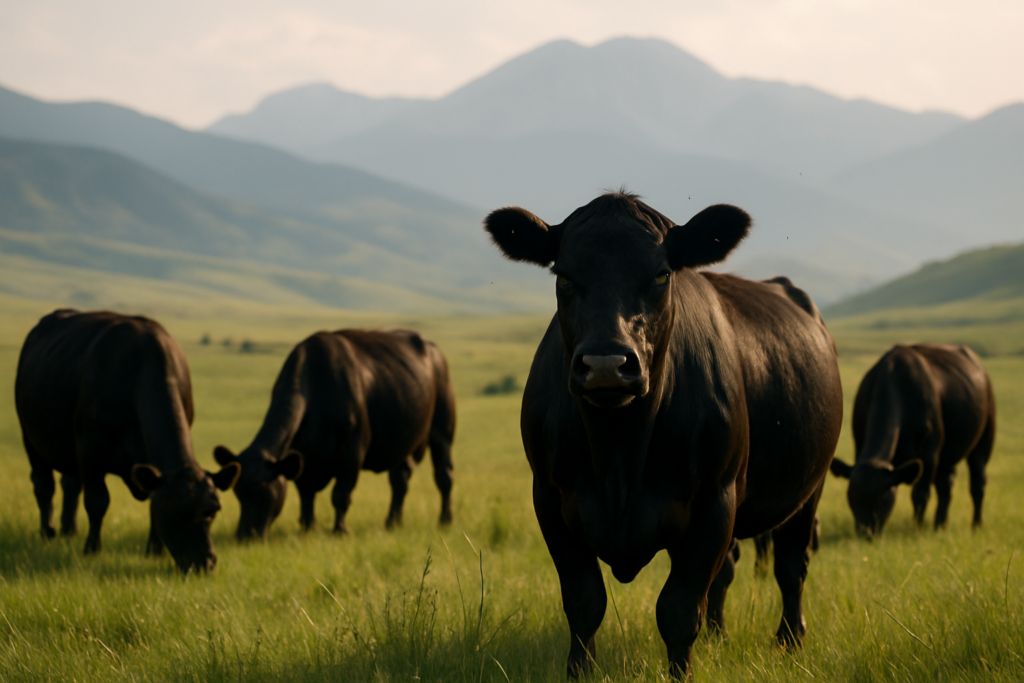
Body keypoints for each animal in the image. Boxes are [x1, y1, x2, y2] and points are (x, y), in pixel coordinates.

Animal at [15, 309, 241, 573]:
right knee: (44, 485)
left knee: (70, 484)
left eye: (213, 511)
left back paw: (69, 530)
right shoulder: (90, 451)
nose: (204, 562)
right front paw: (91, 549)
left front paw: (154, 552)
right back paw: (47, 532)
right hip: (30, 439)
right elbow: (97, 501)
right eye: (173, 511)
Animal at [213, 329, 455, 541]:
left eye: (262, 489)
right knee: (400, 480)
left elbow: (340, 495)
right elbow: (306, 496)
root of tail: (432, 347)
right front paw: (307, 528)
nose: (244, 536)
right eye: (238, 492)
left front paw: (340, 530)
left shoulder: (353, 452)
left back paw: (445, 520)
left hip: (442, 429)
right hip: (402, 442)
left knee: (444, 476)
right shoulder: (304, 459)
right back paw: (392, 522)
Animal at [484, 192, 844, 678]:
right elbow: (583, 602)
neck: (619, 454)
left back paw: (789, 640)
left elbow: (677, 609)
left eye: (661, 274)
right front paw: (579, 672)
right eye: (564, 275)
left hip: (809, 488)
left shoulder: (715, 500)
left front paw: (681, 675)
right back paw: (718, 636)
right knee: (729, 572)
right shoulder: (551, 498)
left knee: (791, 565)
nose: (605, 364)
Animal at [830, 343, 995, 537]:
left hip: (984, 439)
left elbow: (920, 494)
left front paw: (917, 527)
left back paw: (976, 524)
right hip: (947, 455)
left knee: (978, 483)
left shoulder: (929, 454)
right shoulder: (859, 443)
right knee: (945, 486)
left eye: (883, 499)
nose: (866, 533)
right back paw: (940, 525)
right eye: (851, 497)